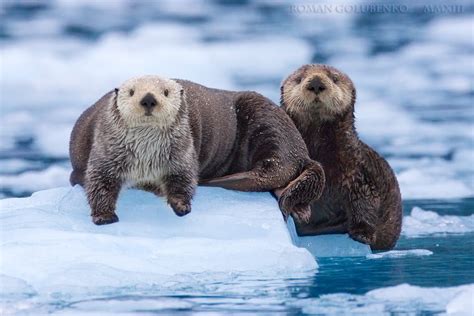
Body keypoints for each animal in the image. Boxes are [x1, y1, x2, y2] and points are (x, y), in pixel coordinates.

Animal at [280, 64, 402, 251]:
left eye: (334, 78)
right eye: (299, 79)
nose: (316, 83)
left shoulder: (358, 174)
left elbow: (364, 203)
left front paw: (362, 233)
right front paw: (298, 210)